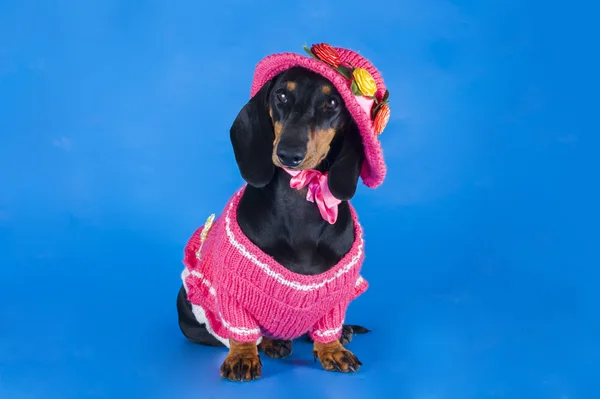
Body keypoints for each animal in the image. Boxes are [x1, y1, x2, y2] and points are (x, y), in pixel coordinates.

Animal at [178, 67, 372, 382]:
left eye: (332, 103)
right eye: (281, 95)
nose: (288, 154)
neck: (301, 197)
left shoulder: (337, 293)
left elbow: (328, 324)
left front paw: (332, 347)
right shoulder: (232, 291)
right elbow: (241, 331)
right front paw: (242, 356)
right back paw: (273, 341)